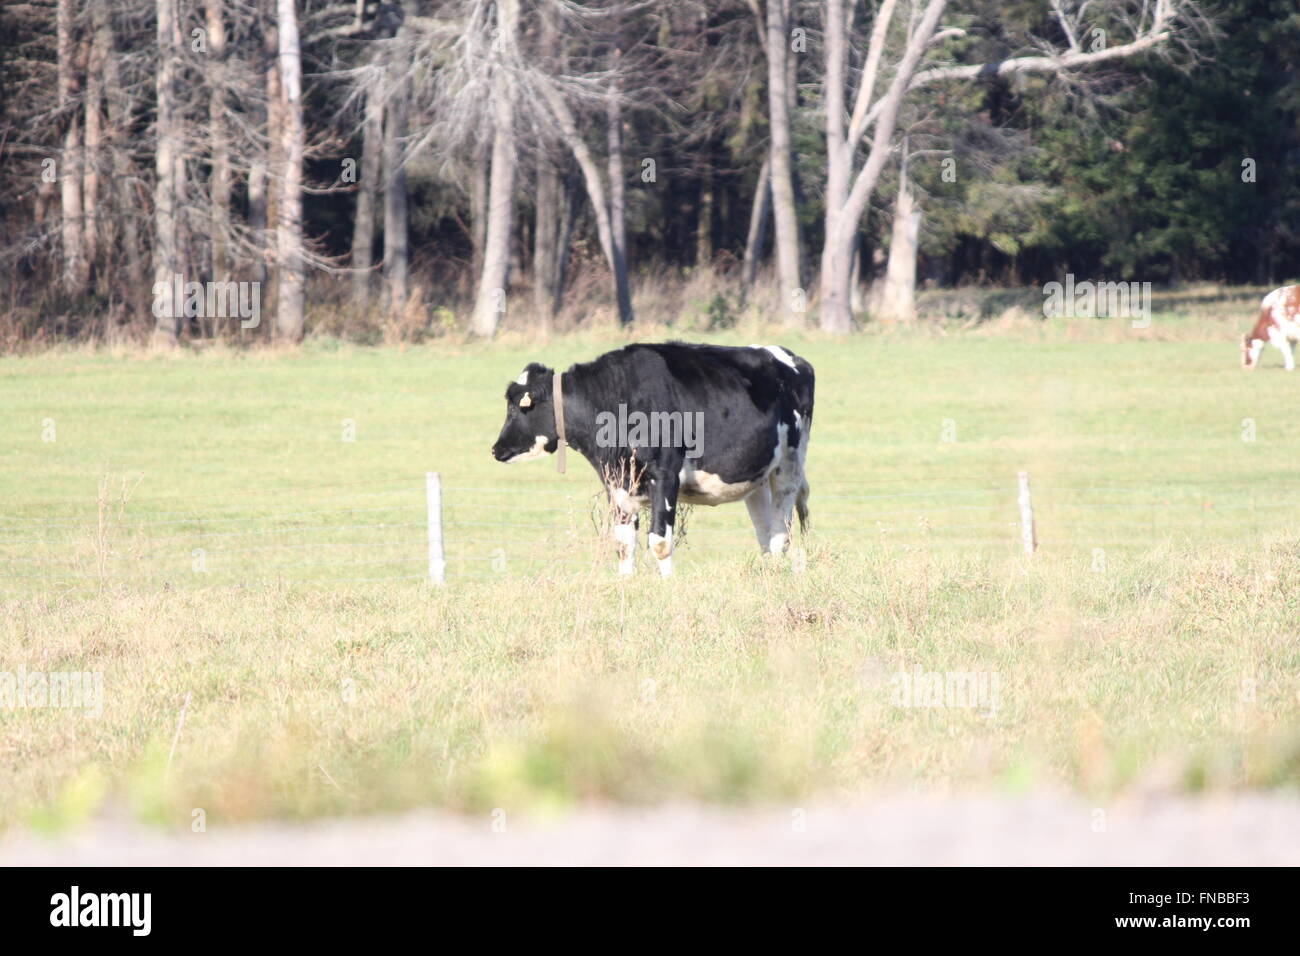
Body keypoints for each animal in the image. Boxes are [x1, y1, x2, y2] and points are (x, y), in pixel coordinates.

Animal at [491, 342, 815, 577]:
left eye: (516, 408)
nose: (496, 449)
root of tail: (791, 357)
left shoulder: (665, 476)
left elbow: (660, 542)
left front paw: (668, 585)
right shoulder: (617, 483)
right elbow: (623, 543)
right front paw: (626, 584)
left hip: (790, 465)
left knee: (781, 529)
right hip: (756, 476)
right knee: (764, 531)